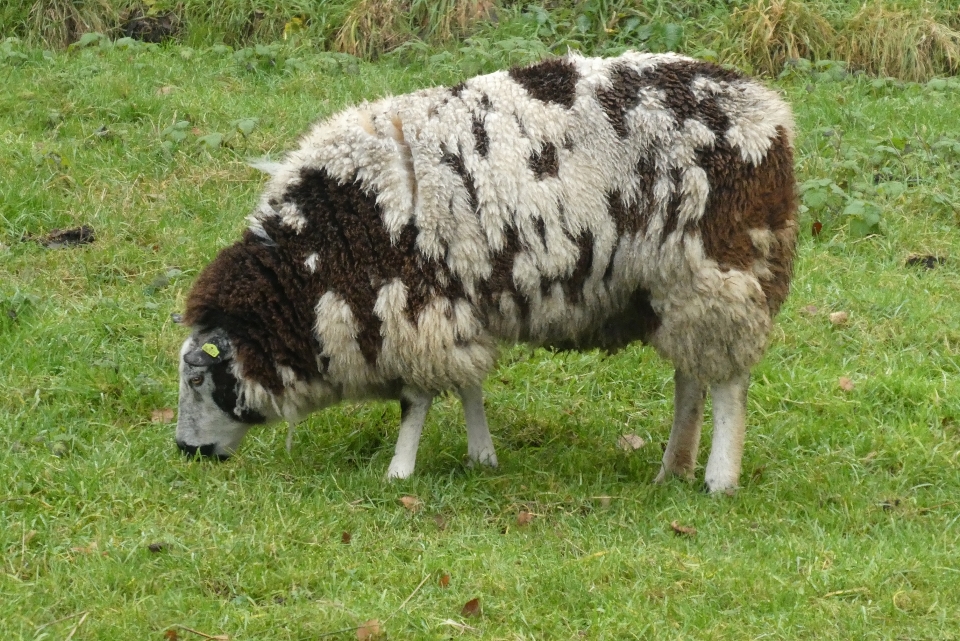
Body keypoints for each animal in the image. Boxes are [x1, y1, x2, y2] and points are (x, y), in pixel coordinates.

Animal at [176, 51, 800, 490]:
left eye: (198, 379)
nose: (185, 452)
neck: (318, 260)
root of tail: (772, 117)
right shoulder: (453, 303)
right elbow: (468, 383)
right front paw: (483, 457)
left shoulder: (412, 307)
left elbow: (416, 399)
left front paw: (399, 471)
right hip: (674, 285)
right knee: (691, 376)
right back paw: (673, 469)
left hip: (722, 268)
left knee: (728, 382)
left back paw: (718, 479)